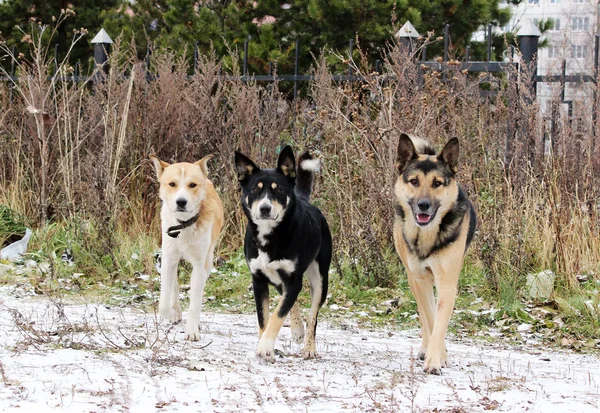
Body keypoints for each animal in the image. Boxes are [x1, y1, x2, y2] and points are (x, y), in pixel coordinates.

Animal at [150, 154, 225, 342]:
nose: (181, 202)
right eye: (172, 184)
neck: (183, 225)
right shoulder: (168, 260)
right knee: (174, 285)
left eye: (192, 185)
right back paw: (176, 311)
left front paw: (192, 331)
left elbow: (195, 302)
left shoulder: (199, 266)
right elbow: (163, 302)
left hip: (208, 262)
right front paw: (171, 313)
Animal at [234, 146, 332, 362]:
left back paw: (309, 347)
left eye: (278, 189)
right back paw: (297, 330)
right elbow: (265, 317)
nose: (265, 208)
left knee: (313, 316)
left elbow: (277, 315)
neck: (271, 235)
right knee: (289, 303)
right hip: (278, 279)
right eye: (255, 189)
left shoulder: (294, 280)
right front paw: (264, 343)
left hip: (320, 280)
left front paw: (265, 347)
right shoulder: (259, 280)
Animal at [394, 133, 478, 374]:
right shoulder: (421, 281)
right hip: (413, 278)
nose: (423, 205)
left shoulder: (447, 283)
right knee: (424, 313)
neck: (428, 236)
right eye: (414, 181)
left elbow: (440, 322)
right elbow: (431, 320)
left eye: (437, 183)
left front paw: (436, 360)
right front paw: (436, 356)